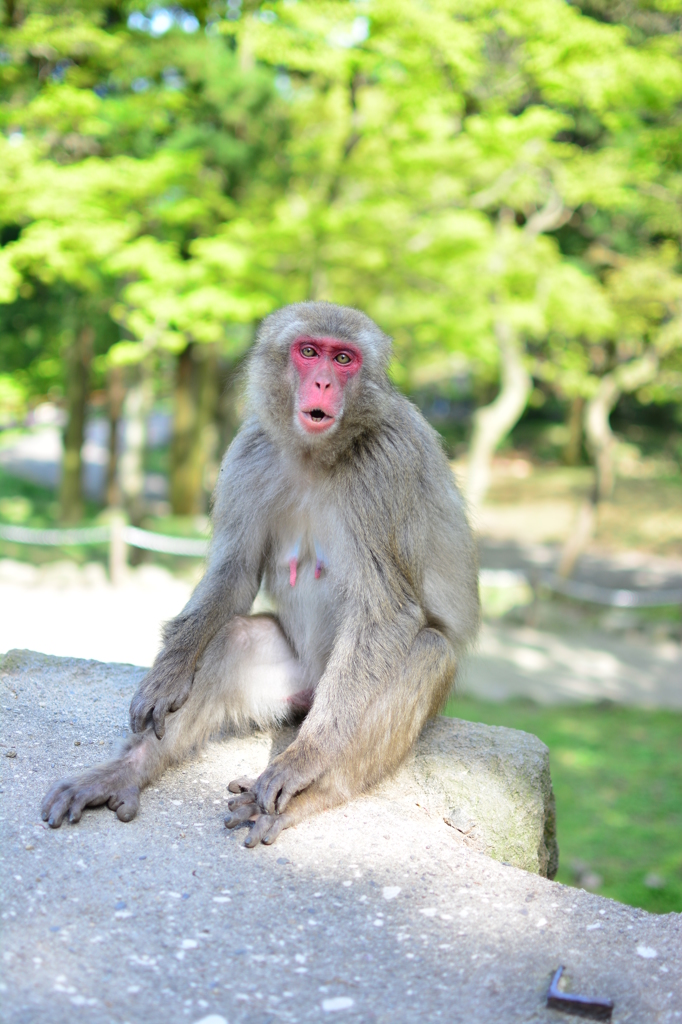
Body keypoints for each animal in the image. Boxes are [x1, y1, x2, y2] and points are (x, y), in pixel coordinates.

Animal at [41, 301, 477, 847]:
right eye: (309, 352)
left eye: (344, 359)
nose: (323, 384)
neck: (318, 454)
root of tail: (312, 689)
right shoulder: (250, 451)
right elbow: (234, 572)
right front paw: (167, 674)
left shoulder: (386, 467)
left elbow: (388, 610)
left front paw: (305, 762)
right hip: (292, 686)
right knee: (234, 638)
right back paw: (127, 771)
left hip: (336, 694)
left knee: (426, 651)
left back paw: (310, 793)